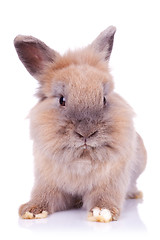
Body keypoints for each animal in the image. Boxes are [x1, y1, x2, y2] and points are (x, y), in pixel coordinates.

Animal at [13, 25, 146, 222]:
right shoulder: (47, 181)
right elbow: (45, 194)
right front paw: (32, 210)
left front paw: (103, 212)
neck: (82, 157)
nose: (86, 133)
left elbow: (105, 196)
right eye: (62, 100)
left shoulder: (111, 181)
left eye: (104, 99)